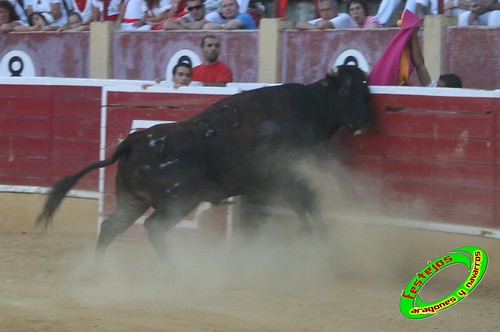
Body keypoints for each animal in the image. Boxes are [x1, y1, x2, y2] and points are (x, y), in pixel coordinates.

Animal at [36, 61, 372, 260]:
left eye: (365, 89)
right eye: (345, 90)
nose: (363, 122)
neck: (308, 108)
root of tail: (133, 142)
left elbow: (303, 208)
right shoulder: (289, 176)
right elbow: (309, 206)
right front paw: (324, 244)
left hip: (132, 201)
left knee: (110, 227)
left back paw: (98, 269)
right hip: (178, 201)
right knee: (153, 228)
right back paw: (173, 271)